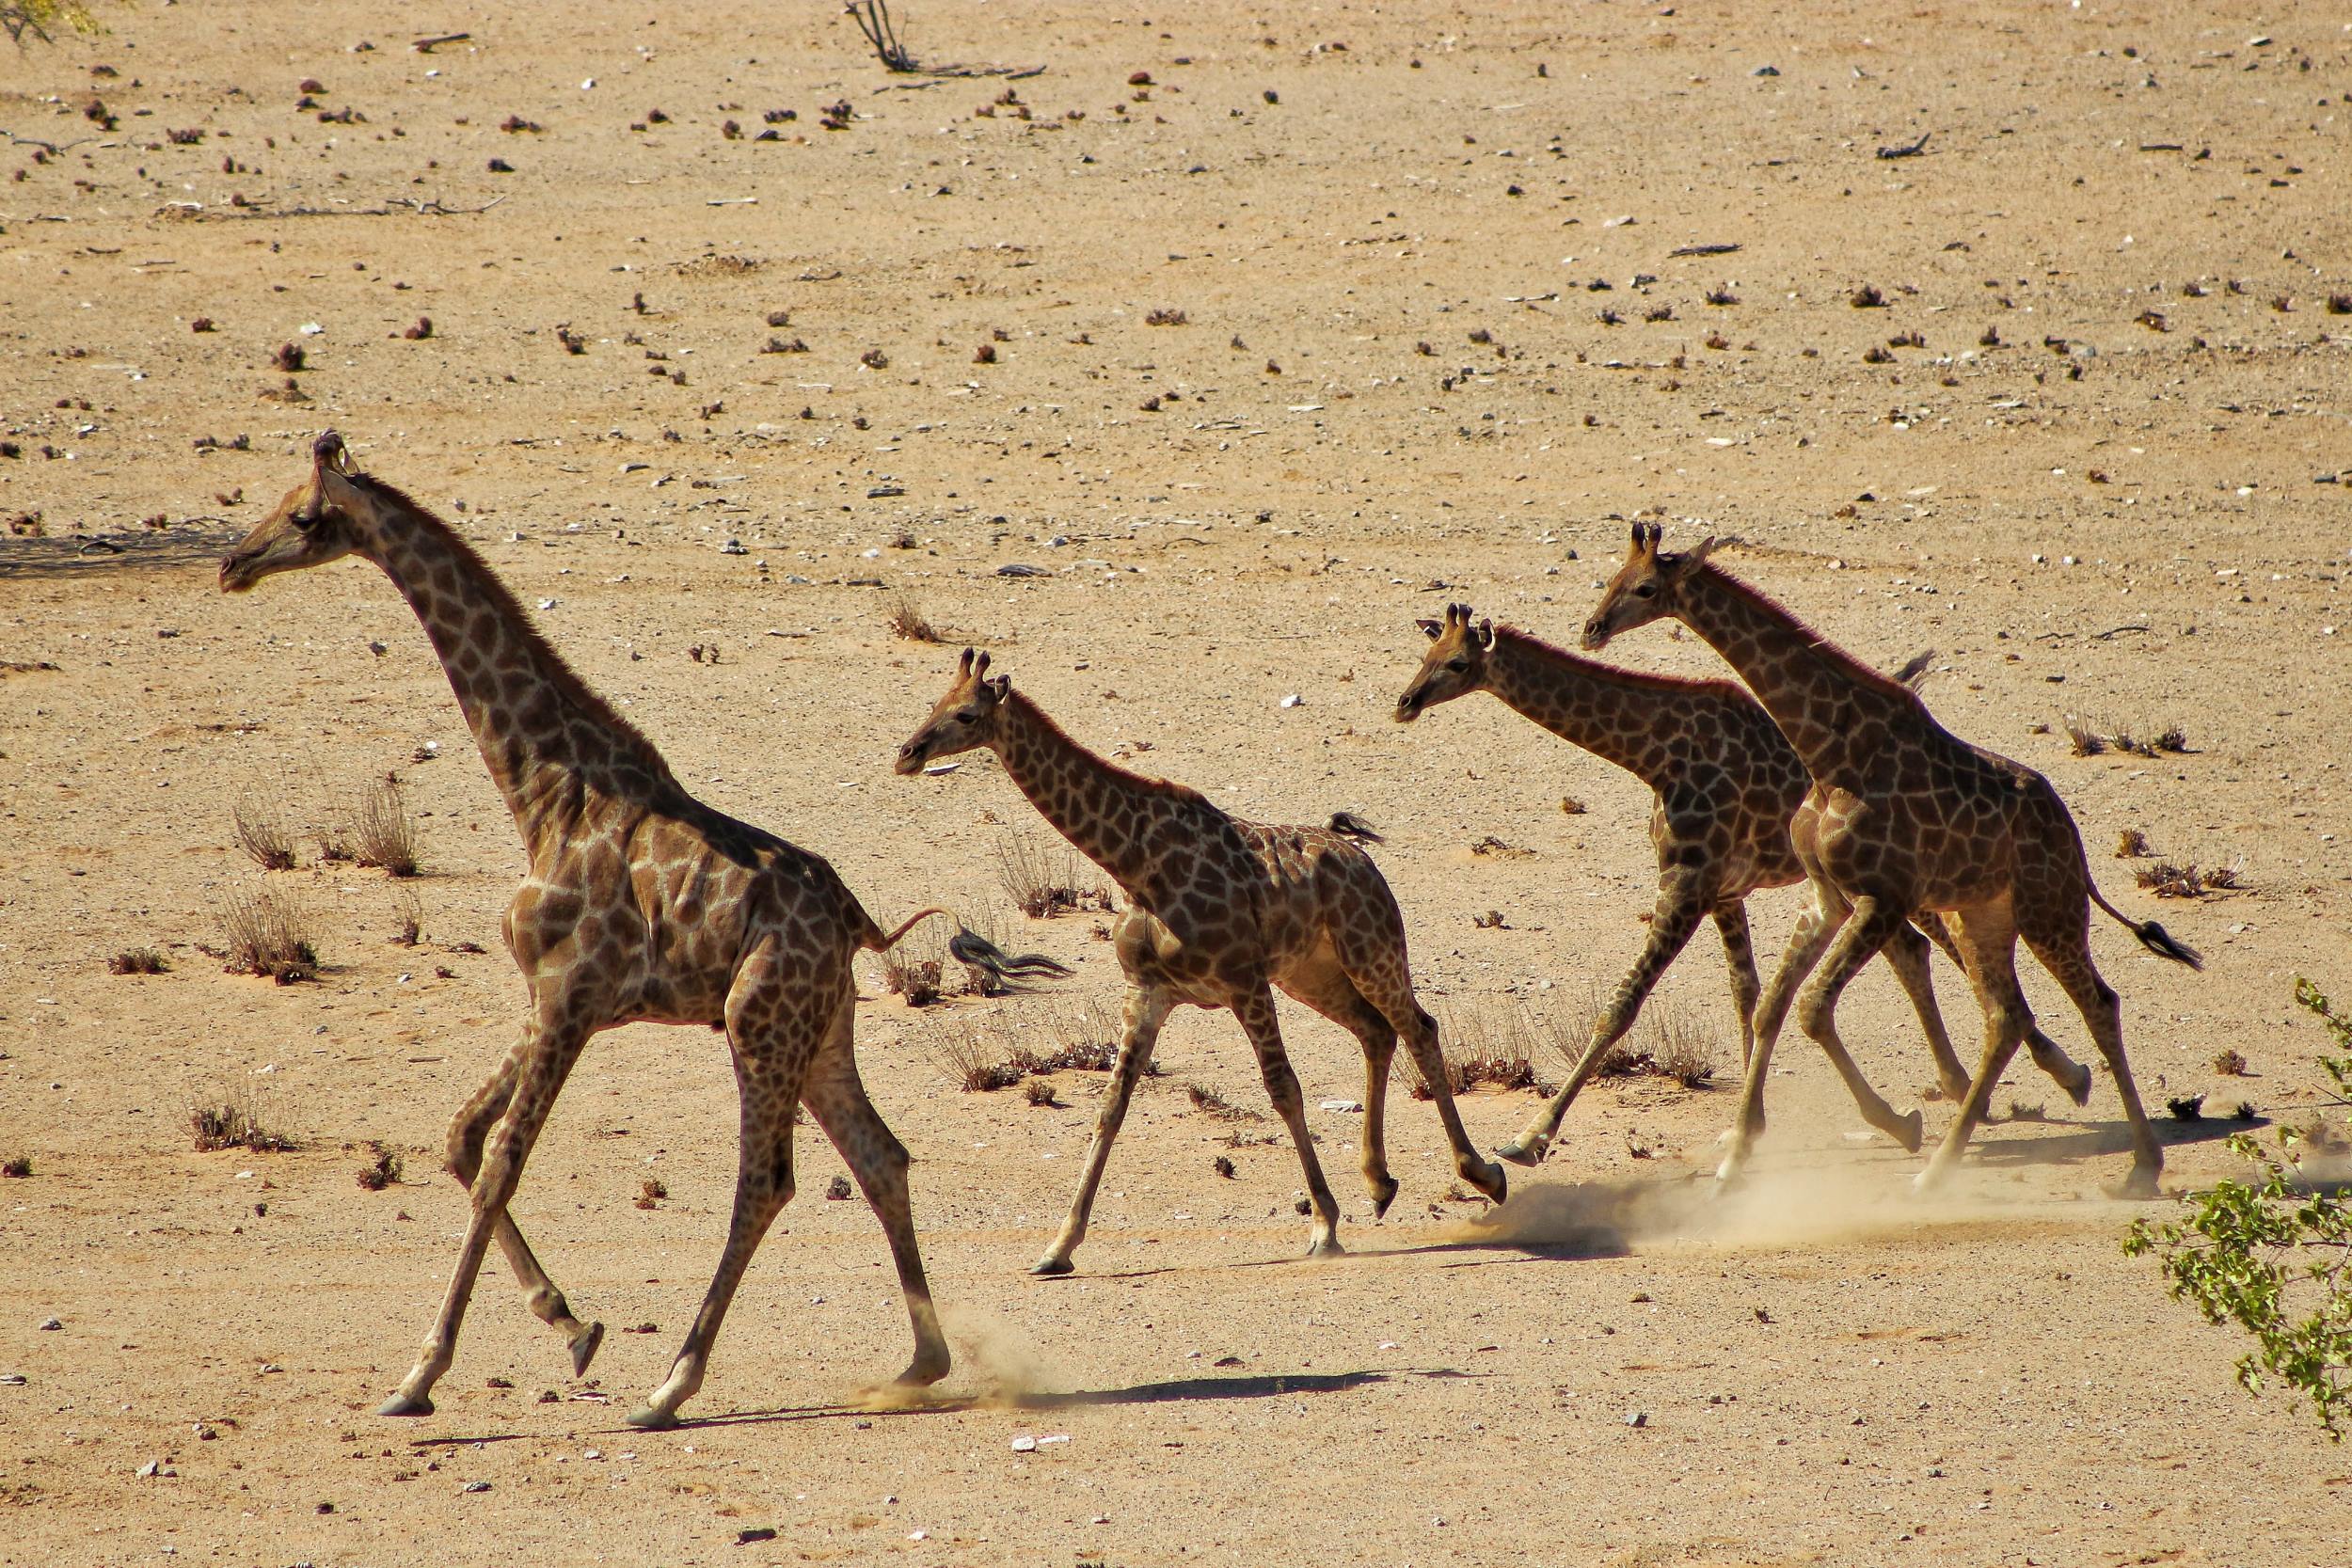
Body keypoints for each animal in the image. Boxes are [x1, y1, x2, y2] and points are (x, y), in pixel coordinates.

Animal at [218, 435, 993, 1429]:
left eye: (305, 517)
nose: (234, 564)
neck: (546, 790)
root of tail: (859, 922)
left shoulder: (570, 995)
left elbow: (501, 1160)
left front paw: (421, 1374)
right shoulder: (549, 994)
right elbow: (460, 1136)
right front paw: (570, 1323)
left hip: (756, 1021)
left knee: (765, 1182)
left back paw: (672, 1385)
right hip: (821, 1030)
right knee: (881, 1157)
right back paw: (919, 1362)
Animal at [889, 648, 1515, 1278]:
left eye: (966, 715)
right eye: (934, 703)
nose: (907, 753)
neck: (1139, 865)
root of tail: (1361, 857)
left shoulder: (1243, 982)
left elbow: (1283, 1089)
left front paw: (1323, 1225)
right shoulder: (1147, 991)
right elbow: (1110, 1107)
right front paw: (1057, 1247)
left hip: (1371, 951)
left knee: (1419, 1027)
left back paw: (1484, 1174)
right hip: (1310, 974)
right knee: (1377, 1032)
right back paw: (1380, 1183)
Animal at [1392, 601, 2098, 1165]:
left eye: (1458, 663)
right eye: (1425, 653)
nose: (1404, 702)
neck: (1653, 754)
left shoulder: (1689, 883)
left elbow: (1622, 1006)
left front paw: (1531, 1137)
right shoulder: (1723, 891)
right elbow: (1748, 994)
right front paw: (1750, 1128)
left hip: (1920, 882)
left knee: (1947, 952)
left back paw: (2062, 1074)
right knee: (1918, 952)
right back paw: (1967, 1087)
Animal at [1581, 521, 2201, 1194]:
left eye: (1645, 588)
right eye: (1612, 576)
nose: (1591, 628)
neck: (1832, 753)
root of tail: (2075, 843)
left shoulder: (1884, 895)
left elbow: (1810, 1006)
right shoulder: (1827, 895)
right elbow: (1772, 1006)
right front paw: (1735, 1158)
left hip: (2049, 911)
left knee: (2098, 1004)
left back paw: (2140, 1165)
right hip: (1985, 916)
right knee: (2005, 1018)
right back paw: (1939, 1170)